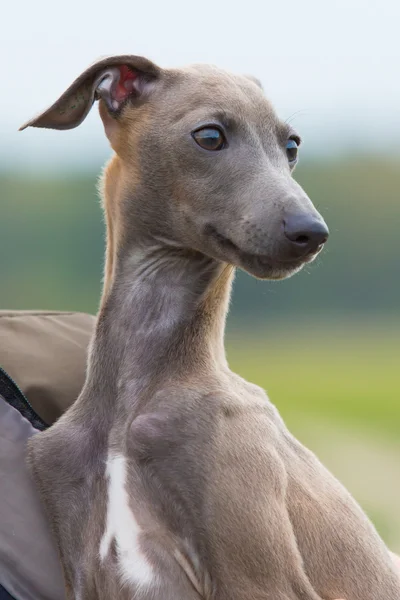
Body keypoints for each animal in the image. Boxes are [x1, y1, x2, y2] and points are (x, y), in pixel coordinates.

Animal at [20, 54, 400, 596]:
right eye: (210, 136)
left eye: (291, 146)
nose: (311, 232)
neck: (132, 403)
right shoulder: (81, 557)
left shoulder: (258, 576)